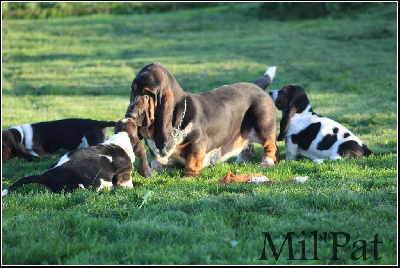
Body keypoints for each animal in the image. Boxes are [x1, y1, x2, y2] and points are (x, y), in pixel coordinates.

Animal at [126, 61, 280, 177]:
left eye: (148, 95)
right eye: (133, 90)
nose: (129, 115)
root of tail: (256, 86)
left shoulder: (198, 141)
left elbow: (192, 161)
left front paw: (188, 176)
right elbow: (155, 162)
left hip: (263, 127)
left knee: (270, 147)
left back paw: (266, 162)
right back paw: (242, 160)